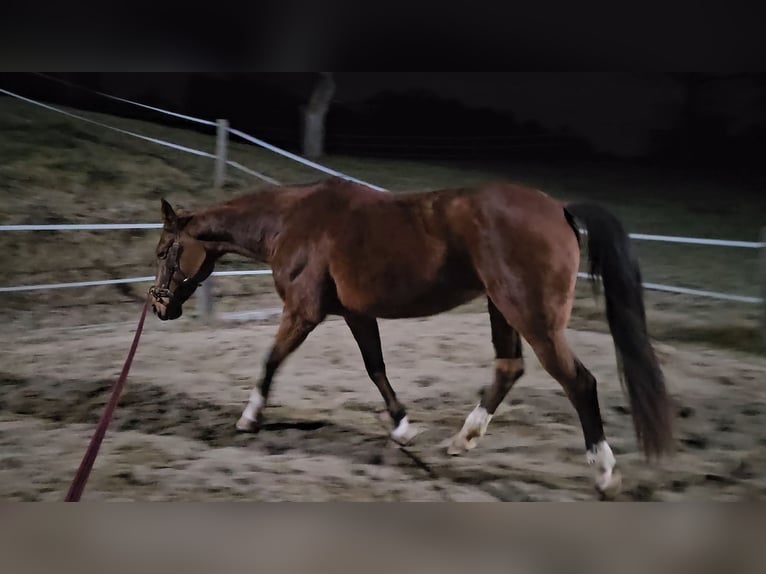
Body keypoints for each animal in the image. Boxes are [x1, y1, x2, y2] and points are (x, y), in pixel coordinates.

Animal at [148, 177, 672, 500]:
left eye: (162, 250)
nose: (159, 307)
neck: (291, 221)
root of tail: (560, 209)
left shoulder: (303, 311)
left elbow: (270, 361)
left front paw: (249, 418)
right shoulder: (356, 314)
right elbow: (375, 367)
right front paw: (402, 427)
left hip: (533, 317)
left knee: (579, 382)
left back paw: (604, 474)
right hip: (502, 309)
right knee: (509, 368)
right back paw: (462, 440)